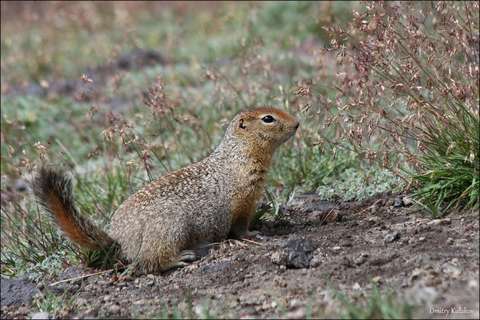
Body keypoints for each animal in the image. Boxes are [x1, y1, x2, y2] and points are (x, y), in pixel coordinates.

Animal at [32, 107, 296, 272]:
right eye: (268, 118)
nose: (297, 124)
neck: (239, 153)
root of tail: (119, 239)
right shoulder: (242, 199)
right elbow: (240, 226)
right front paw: (254, 234)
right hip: (169, 229)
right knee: (149, 263)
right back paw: (179, 258)